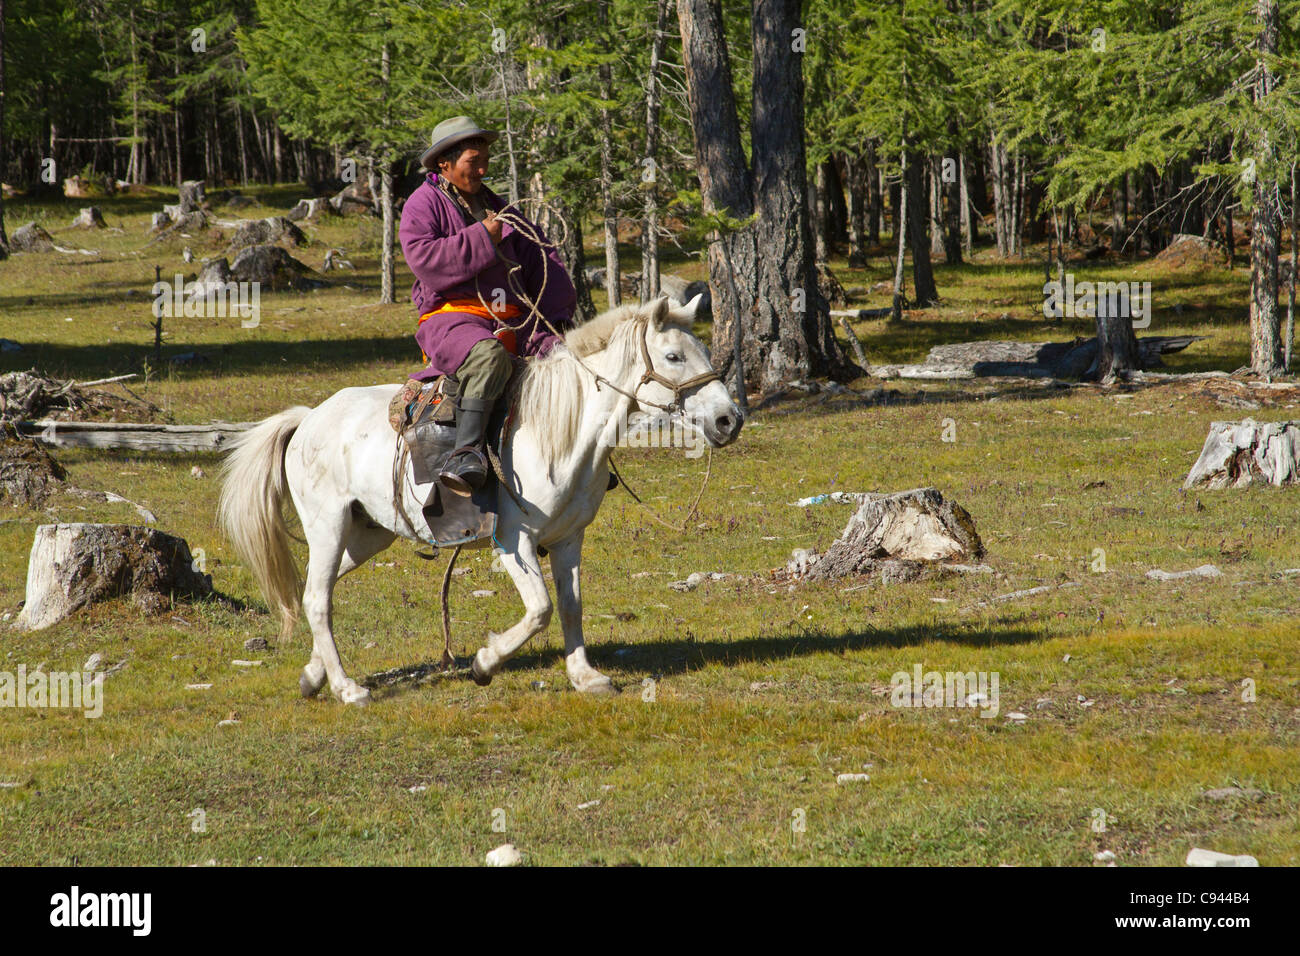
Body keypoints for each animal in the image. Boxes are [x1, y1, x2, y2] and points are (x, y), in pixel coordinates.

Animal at [219, 295, 748, 707]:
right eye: (674, 356)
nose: (729, 419)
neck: (558, 430)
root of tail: (308, 418)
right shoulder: (515, 541)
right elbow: (540, 609)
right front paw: (484, 662)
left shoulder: (568, 539)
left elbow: (571, 605)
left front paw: (585, 677)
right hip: (327, 526)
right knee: (316, 598)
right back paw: (347, 688)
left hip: (365, 534)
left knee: (319, 590)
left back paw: (315, 676)